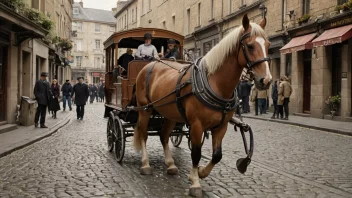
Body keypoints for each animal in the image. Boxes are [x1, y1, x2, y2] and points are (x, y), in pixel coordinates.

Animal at [132, 14, 272, 196]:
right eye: (249, 46)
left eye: (268, 45)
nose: (266, 80)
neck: (216, 84)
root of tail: (151, 64)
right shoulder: (197, 125)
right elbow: (196, 154)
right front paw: (195, 183)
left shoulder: (221, 126)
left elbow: (217, 155)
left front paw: (201, 173)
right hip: (145, 109)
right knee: (143, 134)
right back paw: (146, 164)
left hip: (170, 113)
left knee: (164, 136)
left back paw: (171, 165)